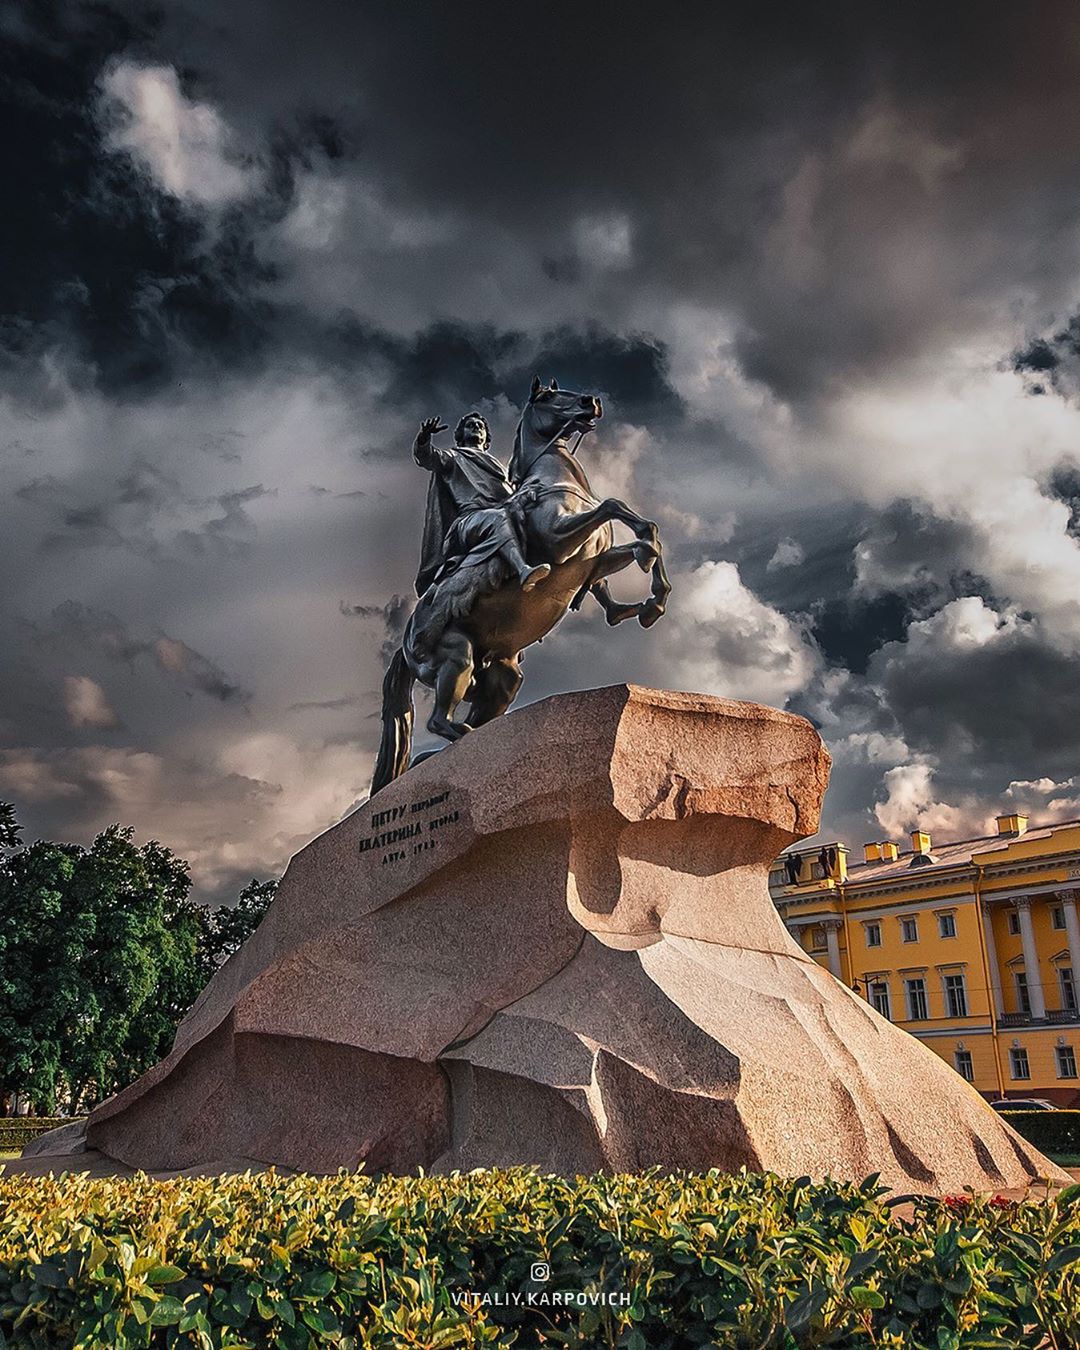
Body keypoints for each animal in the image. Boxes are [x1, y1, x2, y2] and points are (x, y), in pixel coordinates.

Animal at [375, 375, 669, 793]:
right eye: (547, 396)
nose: (591, 401)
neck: (556, 482)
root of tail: (403, 646)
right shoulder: (561, 540)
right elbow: (614, 505)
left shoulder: (594, 559)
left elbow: (642, 537)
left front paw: (652, 600)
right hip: (455, 656)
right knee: (440, 720)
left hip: (502, 678)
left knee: (475, 717)